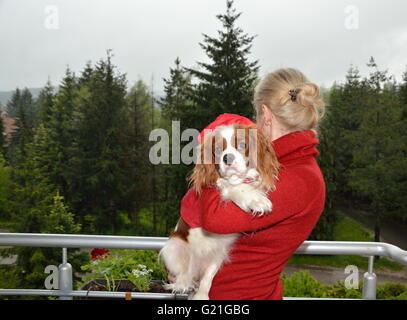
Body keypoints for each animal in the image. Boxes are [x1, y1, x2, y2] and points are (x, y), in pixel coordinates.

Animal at [159, 124, 280, 298]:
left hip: (219, 253)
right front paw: (256, 199)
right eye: (217, 150)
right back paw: (184, 285)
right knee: (184, 272)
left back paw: (201, 294)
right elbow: (232, 186)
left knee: (206, 277)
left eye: (242, 145)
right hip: (174, 246)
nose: (227, 158)